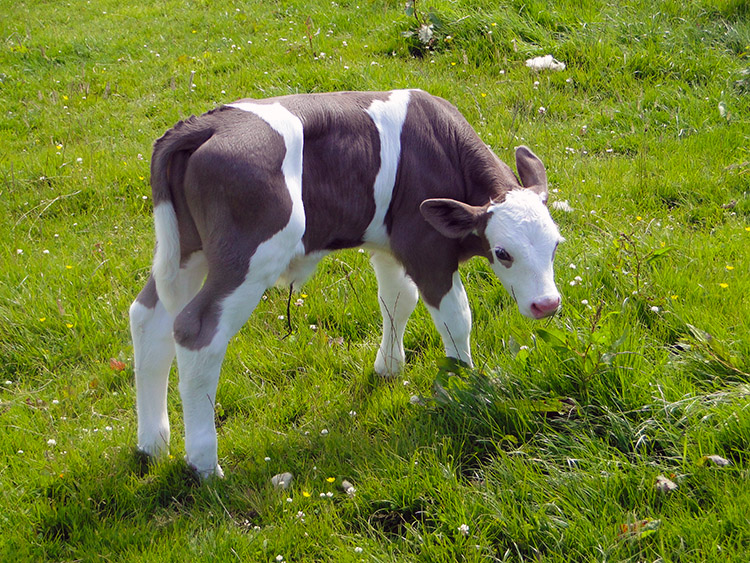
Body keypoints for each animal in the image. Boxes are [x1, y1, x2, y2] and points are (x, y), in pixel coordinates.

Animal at [129, 90, 564, 478]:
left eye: (556, 244)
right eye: (503, 253)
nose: (547, 304)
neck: (444, 150)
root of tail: (208, 123)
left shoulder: (389, 246)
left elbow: (397, 299)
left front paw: (389, 367)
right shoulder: (426, 248)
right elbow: (456, 317)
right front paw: (460, 388)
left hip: (187, 250)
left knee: (148, 318)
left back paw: (153, 444)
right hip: (246, 258)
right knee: (197, 331)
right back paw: (204, 464)